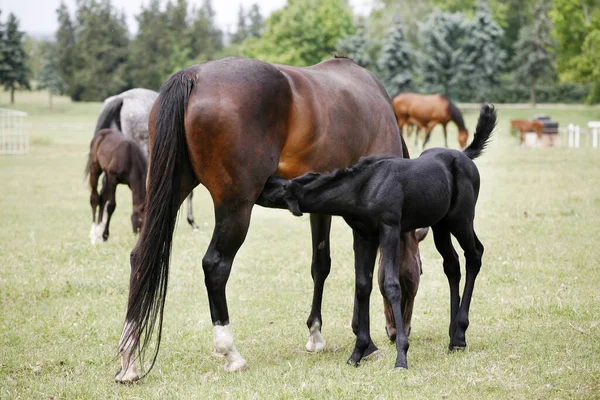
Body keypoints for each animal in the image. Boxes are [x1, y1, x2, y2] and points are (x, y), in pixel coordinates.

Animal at [115, 56, 420, 382]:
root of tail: (193, 76)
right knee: (215, 266)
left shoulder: (321, 209)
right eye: (414, 277)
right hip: (236, 208)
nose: (397, 331)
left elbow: (320, 266)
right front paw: (367, 345)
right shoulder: (365, 221)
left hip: (171, 191)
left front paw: (316, 334)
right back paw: (231, 353)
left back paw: (129, 359)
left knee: (140, 257)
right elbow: (363, 279)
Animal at [258, 104, 496, 368]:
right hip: (441, 226)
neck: (363, 187)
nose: (261, 183)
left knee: (474, 255)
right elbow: (363, 284)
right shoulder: (365, 235)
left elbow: (391, 284)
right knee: (452, 265)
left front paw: (401, 356)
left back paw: (460, 332)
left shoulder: (389, 229)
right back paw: (454, 336)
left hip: (461, 220)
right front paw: (357, 353)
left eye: (277, 189)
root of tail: (465, 156)